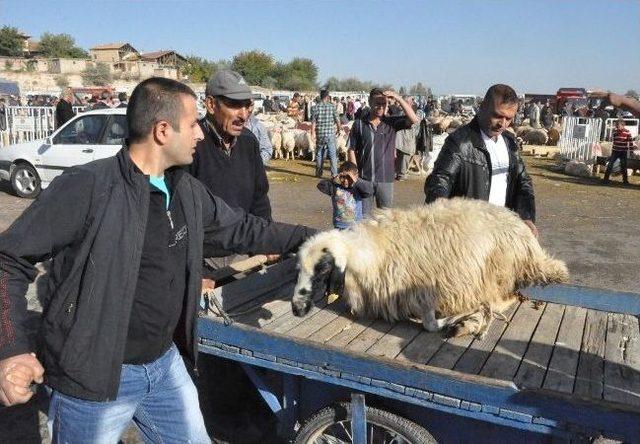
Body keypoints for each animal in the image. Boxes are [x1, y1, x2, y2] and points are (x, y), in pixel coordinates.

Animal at [292, 198, 568, 336]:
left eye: (321, 270)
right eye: (299, 270)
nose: (296, 309)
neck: (368, 252)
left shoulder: (423, 293)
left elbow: (430, 325)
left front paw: (453, 319)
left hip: (495, 272)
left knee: (504, 297)